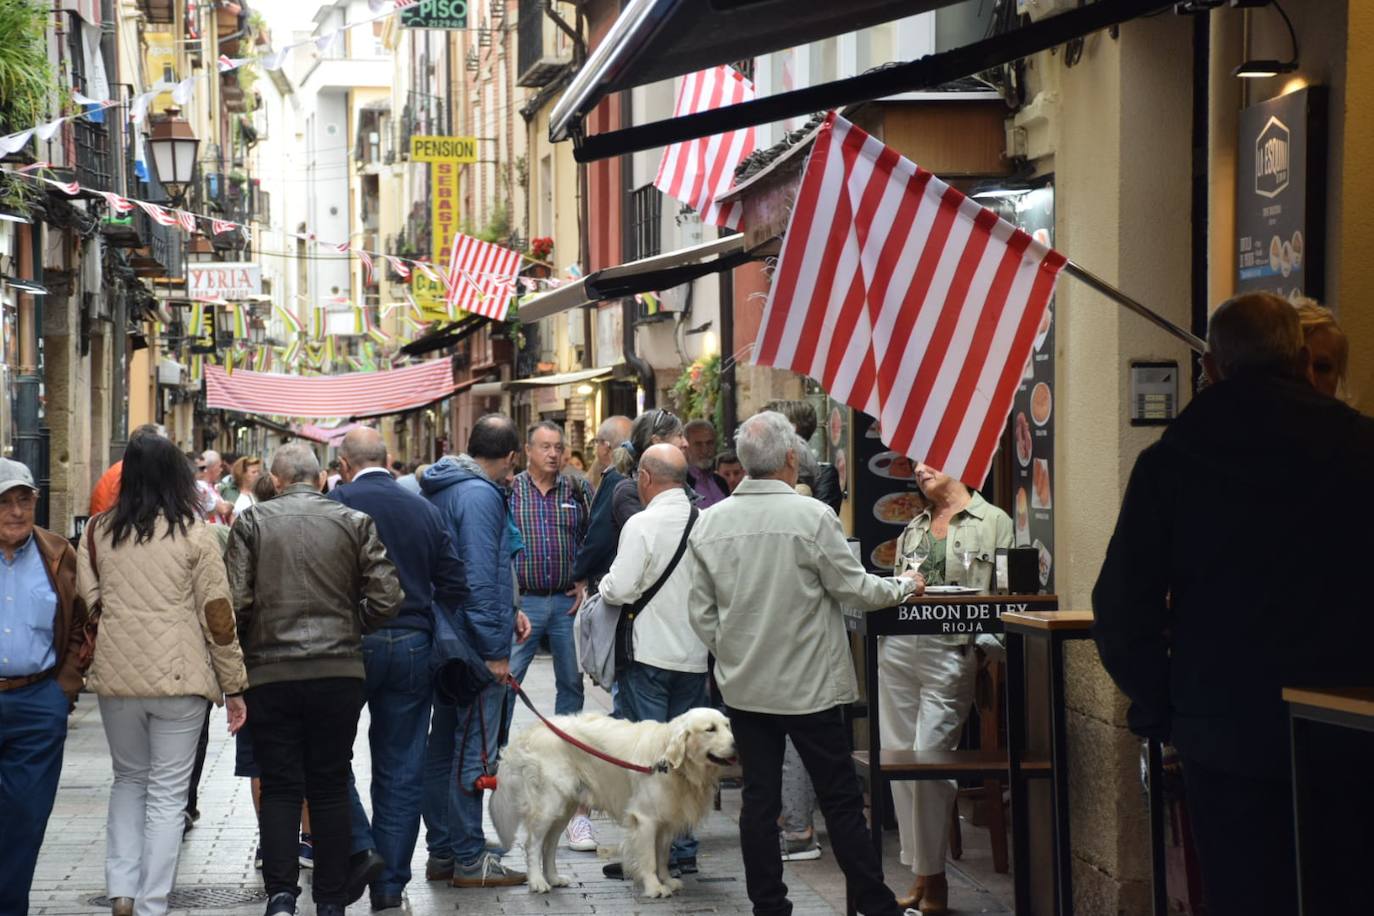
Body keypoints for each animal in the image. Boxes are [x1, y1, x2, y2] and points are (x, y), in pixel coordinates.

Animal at [489, 708, 736, 895]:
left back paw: (554, 877)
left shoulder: (665, 820)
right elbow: (649, 858)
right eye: (710, 729)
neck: (671, 764)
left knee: (549, 845)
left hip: (564, 808)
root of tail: (535, 729)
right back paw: (537, 882)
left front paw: (666, 880)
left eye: (727, 725)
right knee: (533, 844)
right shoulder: (645, 819)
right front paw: (655, 887)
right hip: (548, 805)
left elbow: (663, 856)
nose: (736, 744)